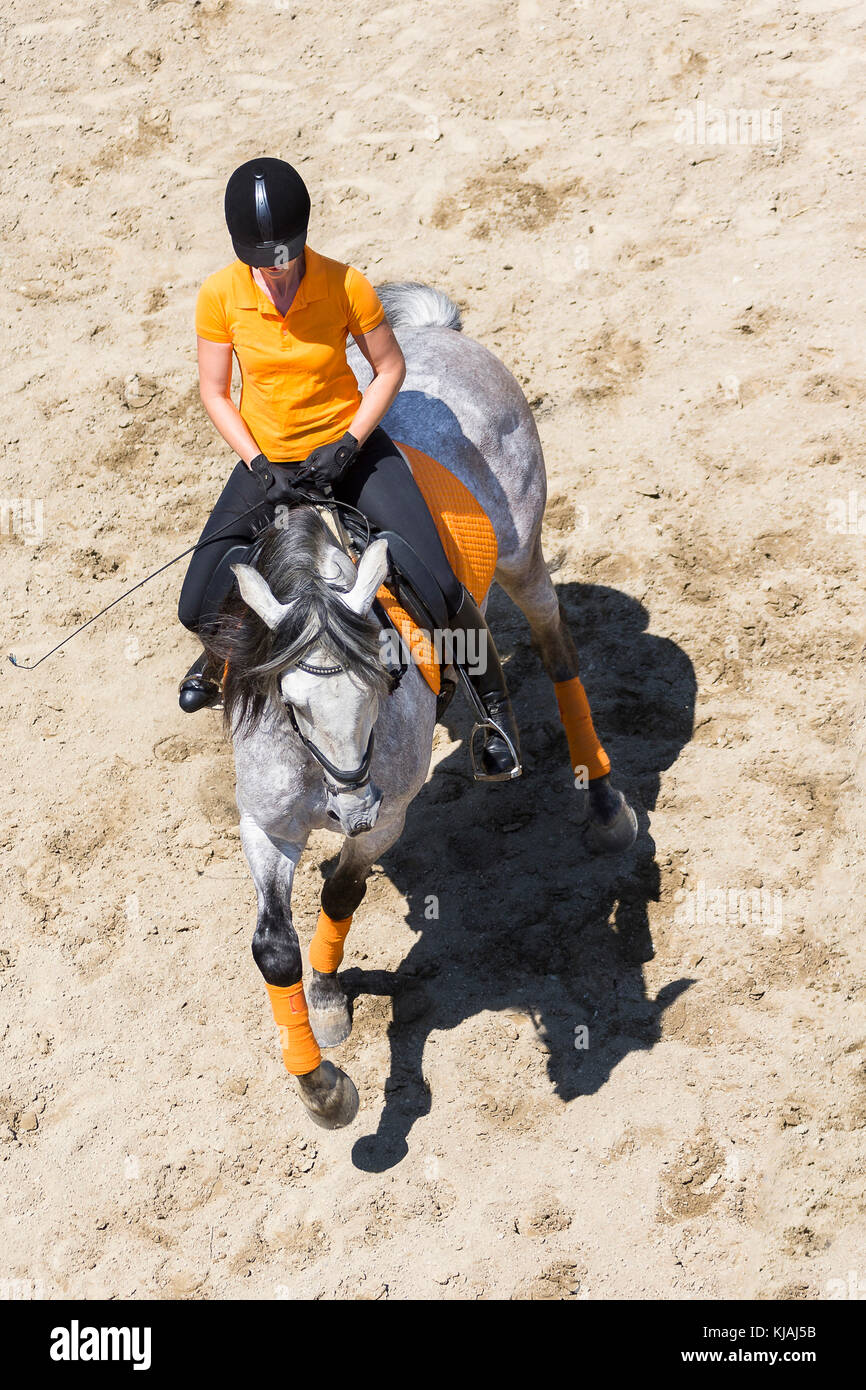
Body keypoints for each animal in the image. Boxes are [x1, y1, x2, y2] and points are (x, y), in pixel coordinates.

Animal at [222, 284, 636, 1128]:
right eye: (288, 699)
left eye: (388, 674)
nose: (349, 810)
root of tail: (438, 335)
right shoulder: (264, 821)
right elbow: (272, 945)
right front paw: (322, 1085)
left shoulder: (392, 815)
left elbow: (340, 889)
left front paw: (328, 1002)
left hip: (522, 555)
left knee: (559, 655)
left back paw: (604, 805)